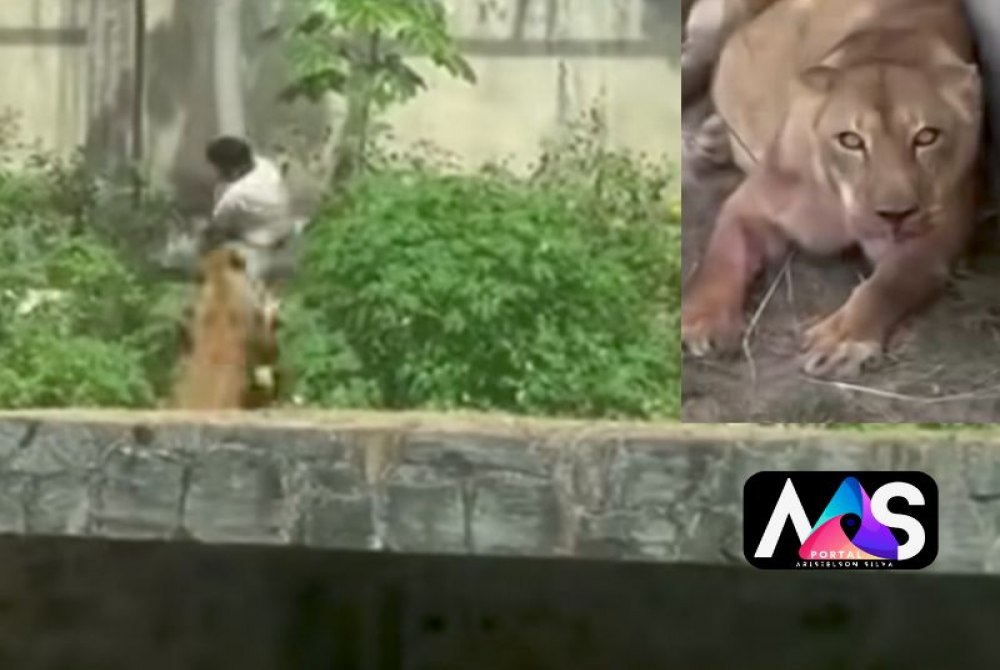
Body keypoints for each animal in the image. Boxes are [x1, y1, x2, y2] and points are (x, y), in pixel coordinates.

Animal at [681, 0, 984, 379]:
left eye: (926, 137)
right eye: (851, 140)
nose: (895, 216)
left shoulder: (933, 241)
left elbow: (886, 286)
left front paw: (843, 340)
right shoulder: (749, 205)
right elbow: (722, 259)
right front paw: (701, 321)